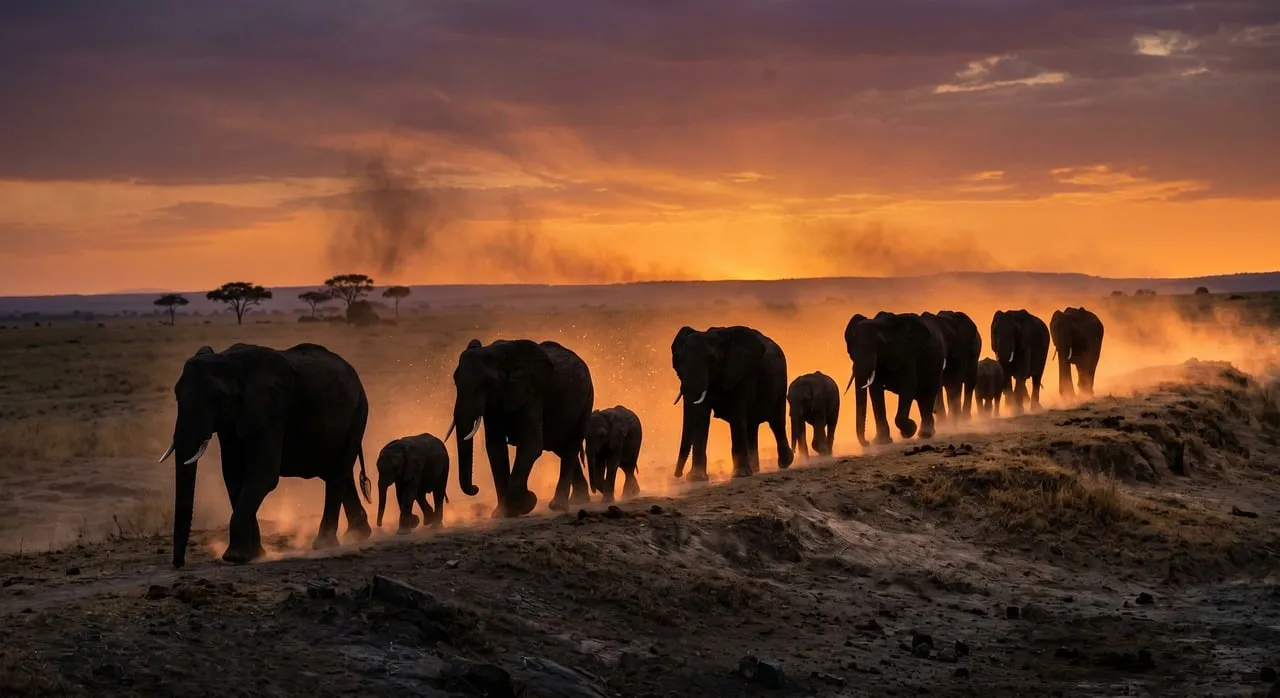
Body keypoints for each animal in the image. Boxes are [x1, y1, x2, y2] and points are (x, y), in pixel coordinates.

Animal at [158, 342, 372, 569]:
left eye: (218, 398)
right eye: (176, 396)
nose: (179, 564)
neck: (230, 361)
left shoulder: (273, 412)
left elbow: (263, 474)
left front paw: (236, 557)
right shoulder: (232, 422)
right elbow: (233, 475)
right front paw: (255, 554)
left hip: (357, 414)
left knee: (337, 473)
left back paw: (325, 545)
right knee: (337, 472)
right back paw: (358, 534)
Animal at [446, 338, 594, 518]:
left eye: (488, 383)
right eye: (455, 381)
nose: (475, 488)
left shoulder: (534, 392)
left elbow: (531, 445)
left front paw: (525, 504)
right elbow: (495, 449)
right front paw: (502, 513)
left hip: (587, 398)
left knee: (571, 445)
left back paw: (559, 506)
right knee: (560, 446)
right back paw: (578, 500)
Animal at [672, 325, 794, 480]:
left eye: (712, 361)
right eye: (678, 363)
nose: (677, 475)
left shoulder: (745, 371)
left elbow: (737, 412)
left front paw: (740, 475)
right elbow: (701, 416)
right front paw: (696, 478)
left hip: (780, 384)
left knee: (776, 423)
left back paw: (785, 463)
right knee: (751, 426)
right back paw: (755, 468)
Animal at [844, 312, 945, 446]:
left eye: (880, 344)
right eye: (851, 349)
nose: (867, 442)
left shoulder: (908, 353)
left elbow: (908, 386)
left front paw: (909, 431)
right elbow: (875, 391)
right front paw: (881, 442)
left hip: (937, 363)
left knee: (929, 392)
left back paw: (925, 434)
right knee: (921, 398)